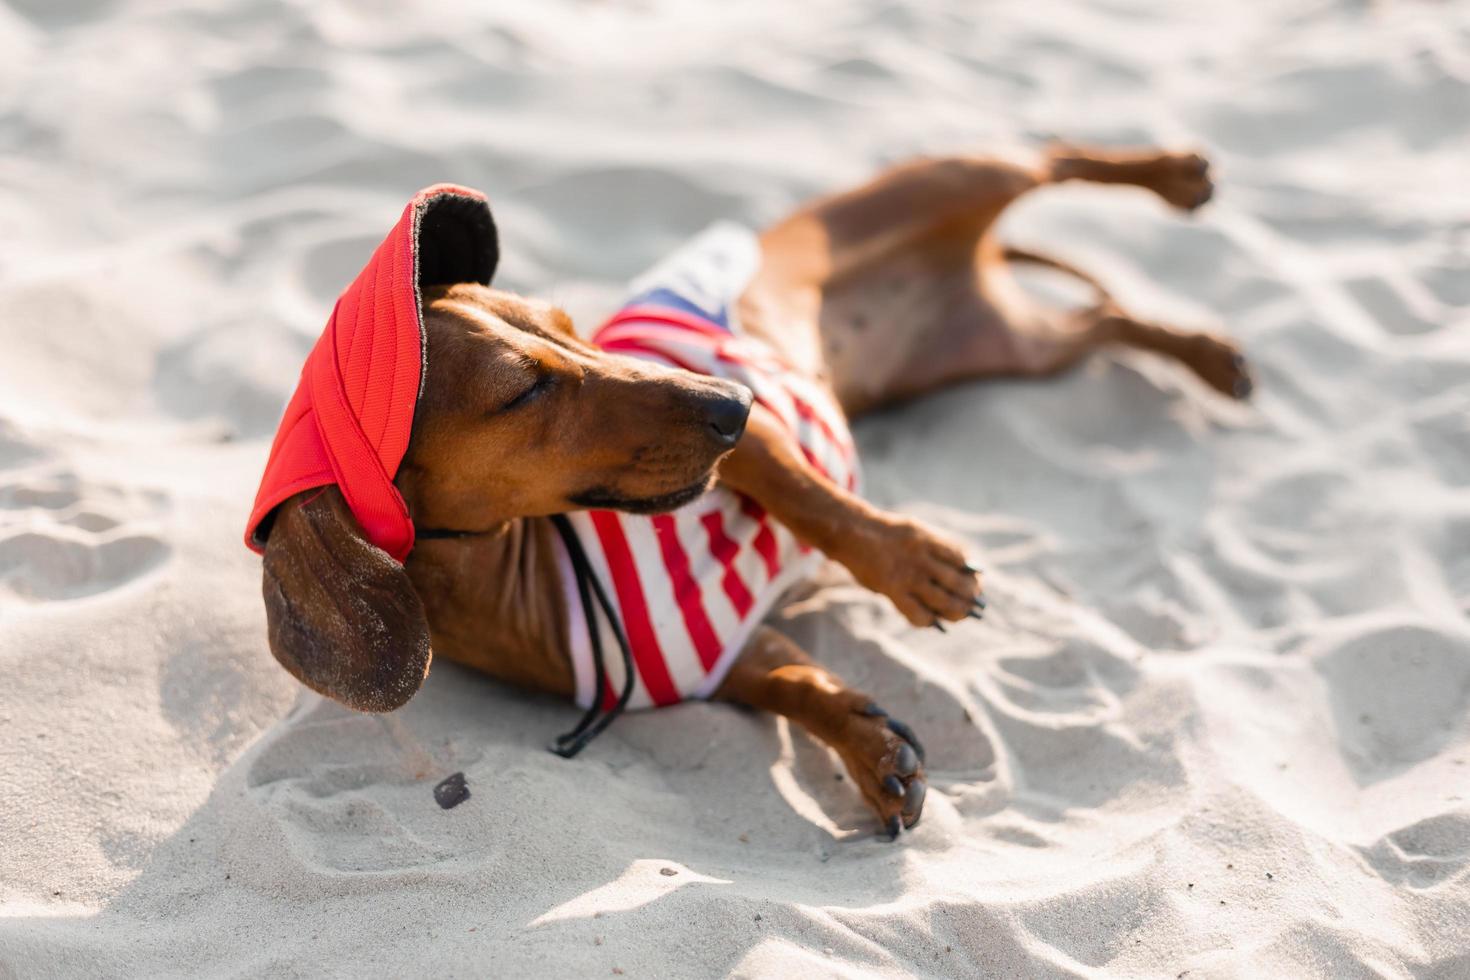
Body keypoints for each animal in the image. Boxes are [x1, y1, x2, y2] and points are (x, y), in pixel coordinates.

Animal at [258, 143, 1246, 834]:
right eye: (524, 390)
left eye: (577, 329)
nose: (729, 400)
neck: (531, 561)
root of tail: (975, 264)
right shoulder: (716, 656)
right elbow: (792, 679)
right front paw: (870, 747)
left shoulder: (763, 447)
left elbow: (822, 504)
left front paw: (912, 567)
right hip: (1018, 350)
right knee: (1105, 318)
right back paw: (1206, 352)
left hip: (964, 177)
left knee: (1055, 153)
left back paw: (1176, 177)